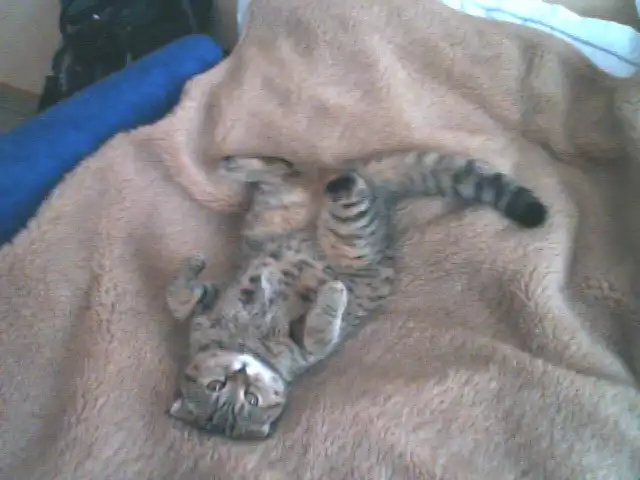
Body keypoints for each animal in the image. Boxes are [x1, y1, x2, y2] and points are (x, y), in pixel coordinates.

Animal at [166, 151, 548, 440]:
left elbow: (179, 300)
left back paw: (238, 165)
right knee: (321, 178)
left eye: (249, 398)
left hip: (325, 228)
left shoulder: (299, 341)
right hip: (337, 231)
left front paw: (193, 270)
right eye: (218, 388)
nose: (241, 373)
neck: (243, 342)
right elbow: (186, 301)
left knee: (294, 170)